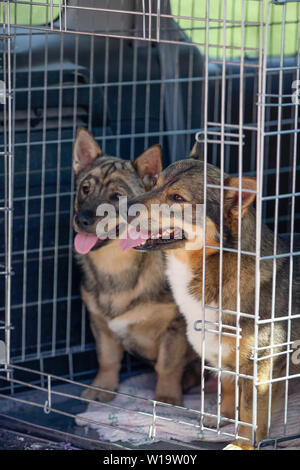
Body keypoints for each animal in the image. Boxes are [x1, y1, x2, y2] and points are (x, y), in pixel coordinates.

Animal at [72, 127, 199, 404]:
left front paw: (167, 398)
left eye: (117, 197)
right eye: (84, 189)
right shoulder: (99, 322)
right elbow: (107, 358)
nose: (82, 219)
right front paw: (103, 387)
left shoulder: (175, 328)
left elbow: (168, 365)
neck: (116, 264)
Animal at [120, 144, 300, 452]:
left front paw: (242, 444)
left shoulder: (260, 365)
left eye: (177, 198)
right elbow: (227, 389)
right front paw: (222, 418)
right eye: (153, 183)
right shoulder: (220, 354)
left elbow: (251, 412)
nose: (123, 206)